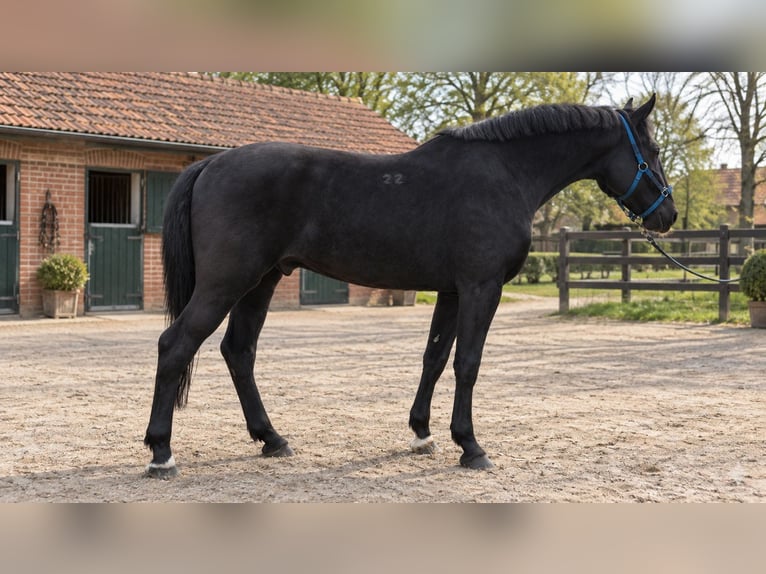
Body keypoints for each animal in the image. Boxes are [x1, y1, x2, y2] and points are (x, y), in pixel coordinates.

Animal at [144, 94, 676, 477]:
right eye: (650, 152)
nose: (667, 215)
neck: (505, 173)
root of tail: (211, 164)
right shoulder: (481, 287)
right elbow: (467, 363)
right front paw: (471, 446)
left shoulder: (452, 290)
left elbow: (435, 357)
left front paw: (422, 433)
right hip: (227, 282)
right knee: (176, 345)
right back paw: (161, 453)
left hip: (263, 281)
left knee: (239, 351)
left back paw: (272, 439)